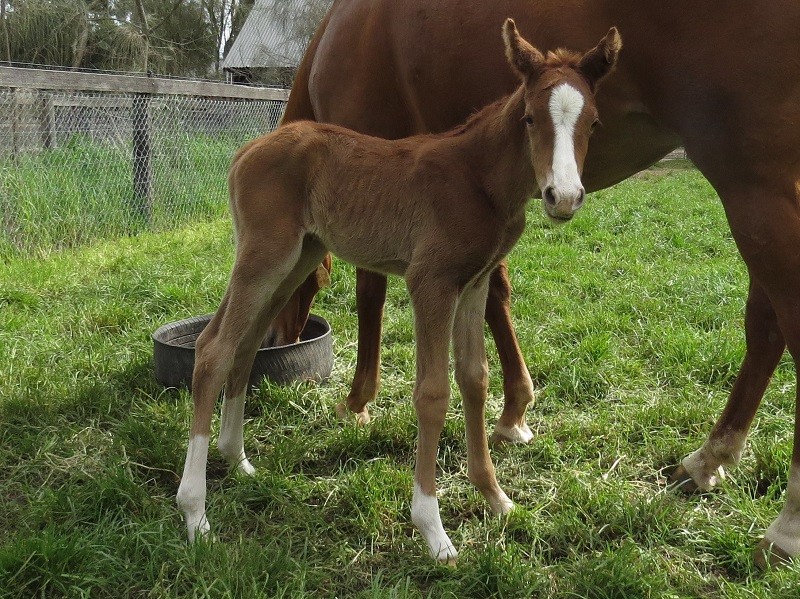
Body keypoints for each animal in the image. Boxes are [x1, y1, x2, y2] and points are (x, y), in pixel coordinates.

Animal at [178, 18, 620, 564]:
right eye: (530, 118)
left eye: (594, 123)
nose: (563, 197)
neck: (478, 179)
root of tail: (245, 152)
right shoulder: (430, 281)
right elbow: (432, 392)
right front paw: (433, 529)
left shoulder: (473, 283)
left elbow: (475, 378)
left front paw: (495, 497)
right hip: (265, 256)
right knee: (213, 348)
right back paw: (195, 513)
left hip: (296, 259)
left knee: (244, 344)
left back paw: (237, 459)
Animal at [270, 0, 800, 568]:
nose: (277, 342)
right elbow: (494, 292)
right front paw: (515, 410)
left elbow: (373, 290)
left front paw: (359, 400)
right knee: (766, 327)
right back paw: (708, 460)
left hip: (756, 184)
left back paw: (784, 525)